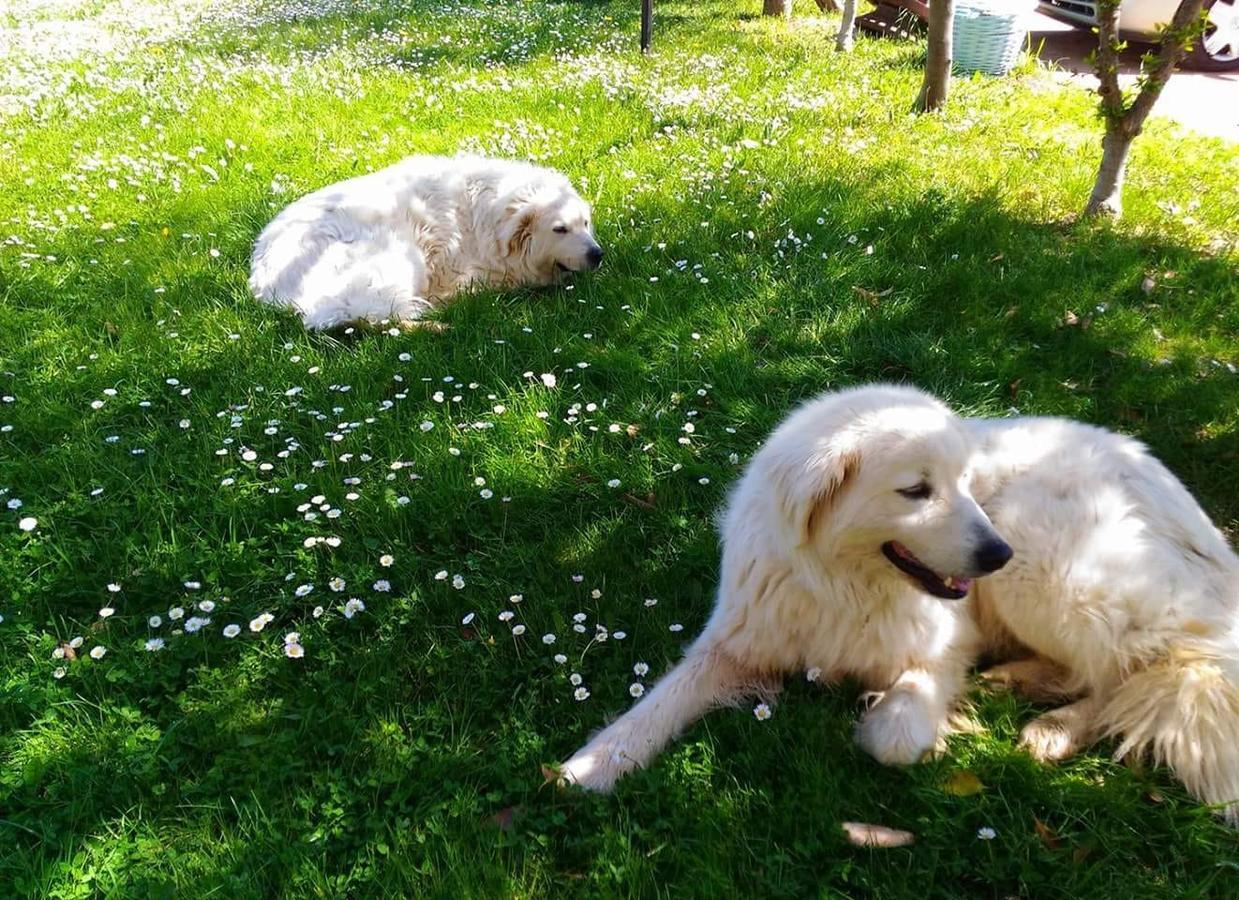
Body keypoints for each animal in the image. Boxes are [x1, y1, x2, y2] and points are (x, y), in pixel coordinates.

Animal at [245, 156, 599, 332]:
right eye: (560, 229)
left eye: (585, 223)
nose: (598, 254)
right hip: (397, 253)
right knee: (366, 318)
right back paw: (437, 323)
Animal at [564, 384, 1239, 828]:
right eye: (915, 491)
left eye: (967, 483)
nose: (996, 552)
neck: (842, 584)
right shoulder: (738, 641)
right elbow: (661, 701)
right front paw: (589, 765)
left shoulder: (947, 645)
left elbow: (894, 735)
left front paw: (896, 720)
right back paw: (1019, 682)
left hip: (1050, 565)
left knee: (1141, 669)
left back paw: (1054, 727)